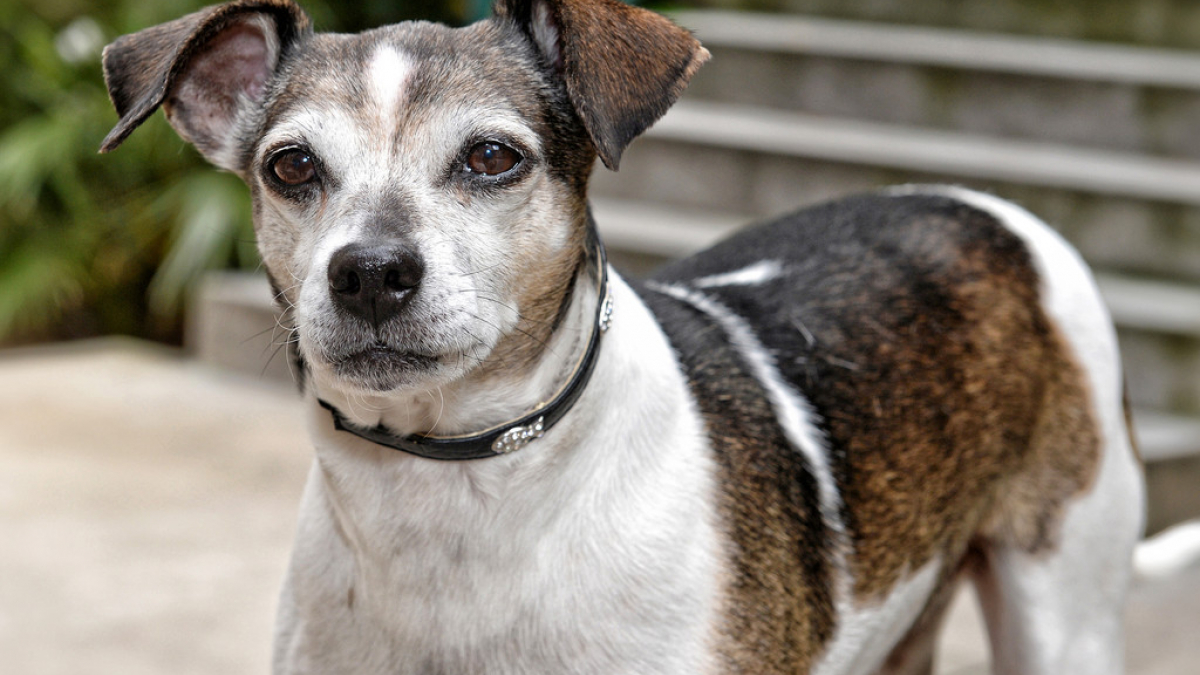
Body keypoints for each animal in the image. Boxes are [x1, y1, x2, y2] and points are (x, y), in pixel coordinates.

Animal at [100, 1, 1142, 672]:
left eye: (491, 156)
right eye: (290, 166)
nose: (368, 274)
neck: (453, 498)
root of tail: (985, 204)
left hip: (1066, 611)